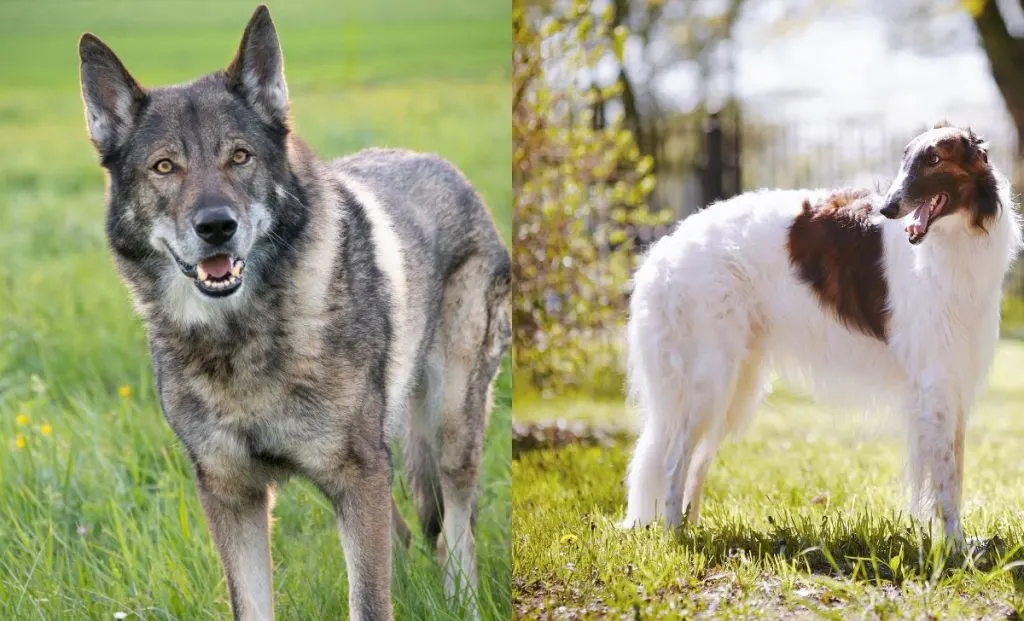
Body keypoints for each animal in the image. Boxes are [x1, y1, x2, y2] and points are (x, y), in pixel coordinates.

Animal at [618, 122, 1019, 545]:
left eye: (935, 159)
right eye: (905, 159)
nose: (888, 209)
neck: (954, 241)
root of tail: (663, 251)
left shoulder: (954, 383)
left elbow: (955, 473)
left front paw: (958, 542)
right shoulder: (935, 382)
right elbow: (945, 479)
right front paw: (955, 546)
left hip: (734, 385)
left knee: (695, 461)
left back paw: (692, 528)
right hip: (708, 380)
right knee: (673, 460)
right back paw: (675, 534)